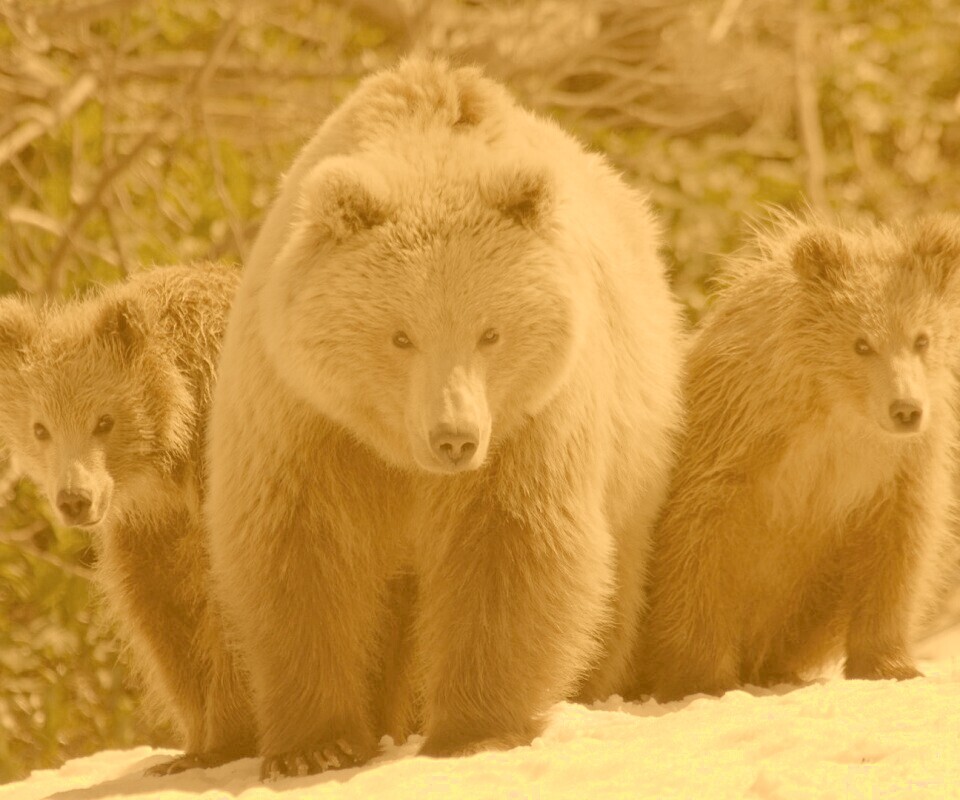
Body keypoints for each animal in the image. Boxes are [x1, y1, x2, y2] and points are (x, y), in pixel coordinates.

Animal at [208, 57, 684, 780]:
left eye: (490, 331)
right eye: (400, 335)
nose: (453, 437)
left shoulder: (528, 425)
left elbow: (509, 547)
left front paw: (475, 730)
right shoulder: (305, 420)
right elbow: (301, 557)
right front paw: (314, 746)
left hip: (634, 445)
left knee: (612, 585)